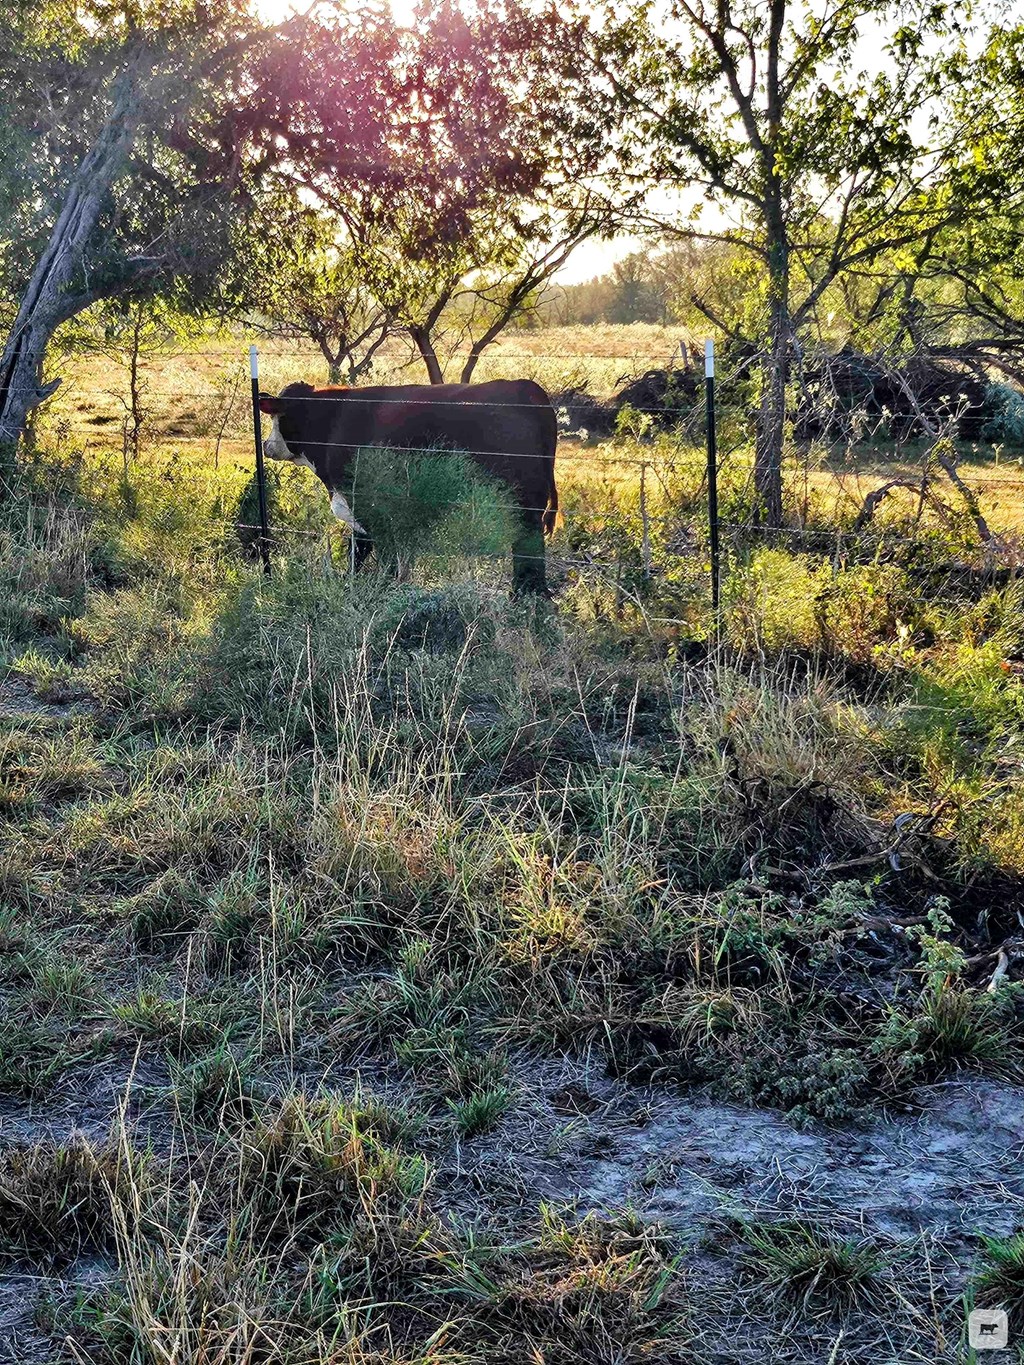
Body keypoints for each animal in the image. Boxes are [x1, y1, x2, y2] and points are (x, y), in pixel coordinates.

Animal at [256, 384, 562, 597]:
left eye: (276, 418)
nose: (266, 446)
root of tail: (526, 388)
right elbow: (358, 551)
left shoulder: (366, 503)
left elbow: (378, 553)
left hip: (523, 503)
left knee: (528, 548)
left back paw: (526, 595)